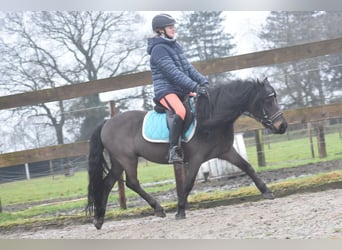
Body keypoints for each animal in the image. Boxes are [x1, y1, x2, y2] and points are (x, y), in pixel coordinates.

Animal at [87, 77, 288, 229]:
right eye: (267, 100)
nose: (282, 126)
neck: (210, 118)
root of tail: (107, 122)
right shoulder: (196, 159)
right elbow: (188, 183)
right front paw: (180, 210)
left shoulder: (226, 151)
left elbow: (248, 167)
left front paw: (267, 191)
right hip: (127, 159)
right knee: (132, 182)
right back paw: (158, 209)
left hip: (118, 161)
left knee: (107, 183)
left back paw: (99, 219)